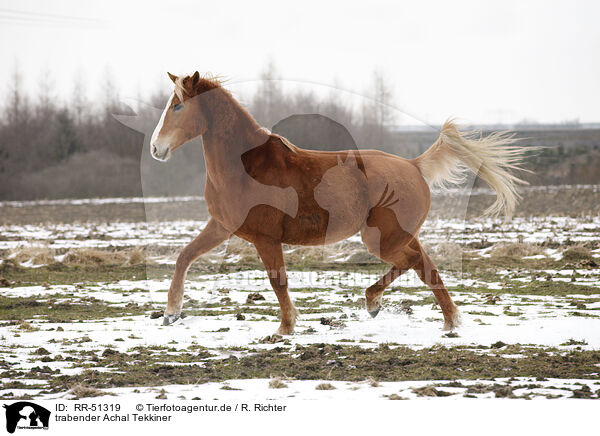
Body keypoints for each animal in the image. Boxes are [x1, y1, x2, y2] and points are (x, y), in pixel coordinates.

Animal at [152, 71, 528, 334]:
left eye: (178, 106)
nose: (156, 148)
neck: (245, 166)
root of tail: (414, 165)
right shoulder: (222, 226)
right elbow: (184, 257)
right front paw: (171, 313)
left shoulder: (265, 238)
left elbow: (278, 281)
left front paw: (285, 328)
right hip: (398, 235)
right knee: (426, 267)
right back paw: (446, 322)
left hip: (382, 238)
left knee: (414, 264)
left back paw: (378, 303)